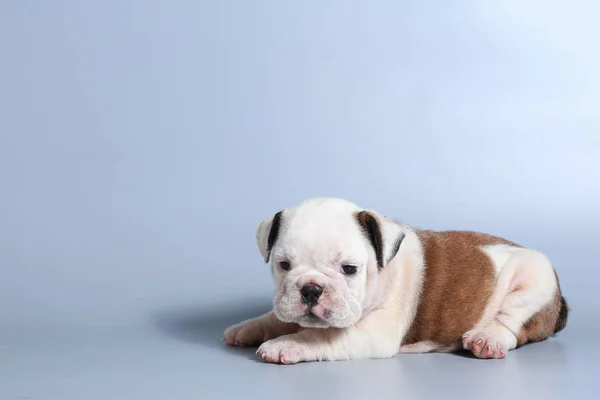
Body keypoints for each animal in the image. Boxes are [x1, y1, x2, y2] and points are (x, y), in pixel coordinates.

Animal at [224, 197, 568, 362]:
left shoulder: (372, 333)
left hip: (535, 279)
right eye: (284, 265)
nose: (311, 289)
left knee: (512, 323)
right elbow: (276, 317)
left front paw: (285, 345)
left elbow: (318, 337)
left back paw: (488, 340)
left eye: (349, 269)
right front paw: (248, 328)